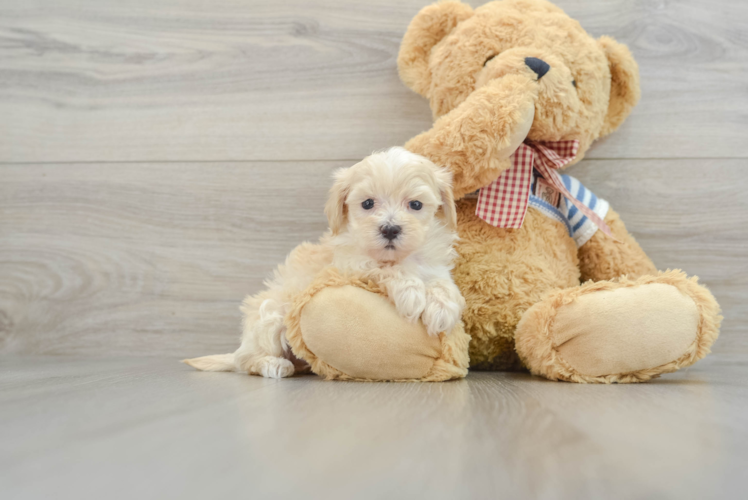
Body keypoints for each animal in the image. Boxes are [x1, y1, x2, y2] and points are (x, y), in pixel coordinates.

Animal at [183, 146, 462, 376]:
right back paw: (273, 364)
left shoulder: (433, 265)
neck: (400, 256)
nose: (390, 229)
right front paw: (412, 293)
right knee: (246, 359)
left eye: (415, 204)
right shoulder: (350, 266)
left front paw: (442, 307)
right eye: (367, 203)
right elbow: (386, 269)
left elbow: (441, 282)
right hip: (270, 315)